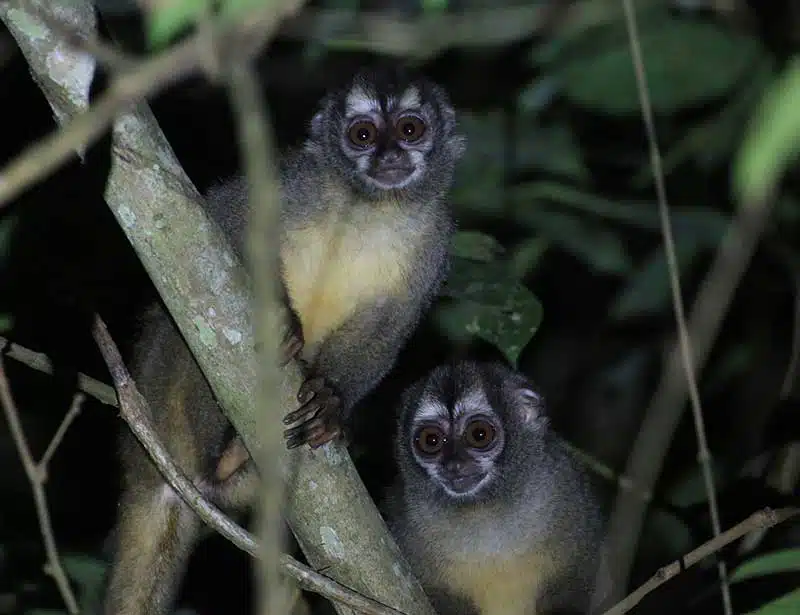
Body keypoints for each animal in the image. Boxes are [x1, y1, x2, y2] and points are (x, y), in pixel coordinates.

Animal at [102, 67, 466, 615]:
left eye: (409, 130)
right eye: (363, 134)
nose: (388, 157)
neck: (367, 208)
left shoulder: (435, 243)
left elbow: (389, 329)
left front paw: (332, 401)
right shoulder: (291, 182)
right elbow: (222, 222)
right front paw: (285, 321)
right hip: (158, 389)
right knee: (188, 327)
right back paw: (217, 460)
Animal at [383, 361, 611, 615]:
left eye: (479, 434)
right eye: (431, 440)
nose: (454, 465)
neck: (483, 507)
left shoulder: (568, 488)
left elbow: (576, 571)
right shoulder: (401, 521)